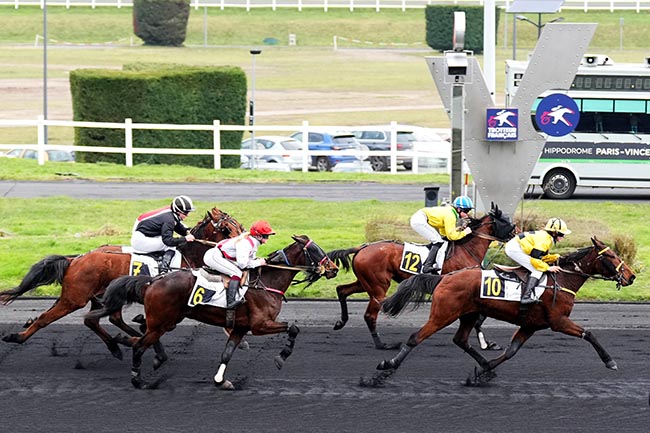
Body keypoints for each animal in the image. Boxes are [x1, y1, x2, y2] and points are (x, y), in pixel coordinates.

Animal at [0, 205, 243, 358]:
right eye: (227, 229)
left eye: (238, 225)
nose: (245, 241)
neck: (188, 255)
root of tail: (75, 260)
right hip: (74, 298)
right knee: (47, 318)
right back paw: (17, 336)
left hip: (98, 296)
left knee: (97, 320)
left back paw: (117, 344)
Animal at [86, 235, 336, 390]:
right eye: (315, 250)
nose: (333, 269)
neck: (266, 282)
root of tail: (152, 280)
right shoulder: (260, 325)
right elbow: (293, 328)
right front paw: (281, 357)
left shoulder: (240, 327)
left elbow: (227, 354)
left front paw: (220, 381)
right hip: (162, 323)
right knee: (140, 344)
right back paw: (138, 379)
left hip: (167, 320)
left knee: (140, 333)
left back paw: (124, 342)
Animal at [326, 202, 512, 348]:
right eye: (506, 221)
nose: (517, 232)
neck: (466, 249)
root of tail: (362, 248)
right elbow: (478, 317)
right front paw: (485, 343)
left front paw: (487, 343)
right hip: (378, 286)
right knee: (370, 315)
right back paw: (382, 345)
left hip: (365, 282)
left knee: (342, 290)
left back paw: (340, 322)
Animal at [364, 238, 632, 386]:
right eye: (611, 255)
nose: (631, 276)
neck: (563, 279)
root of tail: (444, 277)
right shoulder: (559, 321)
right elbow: (589, 334)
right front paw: (610, 361)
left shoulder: (531, 325)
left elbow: (511, 352)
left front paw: (483, 372)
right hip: (443, 314)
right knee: (415, 338)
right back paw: (385, 368)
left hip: (469, 314)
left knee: (460, 340)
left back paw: (484, 366)